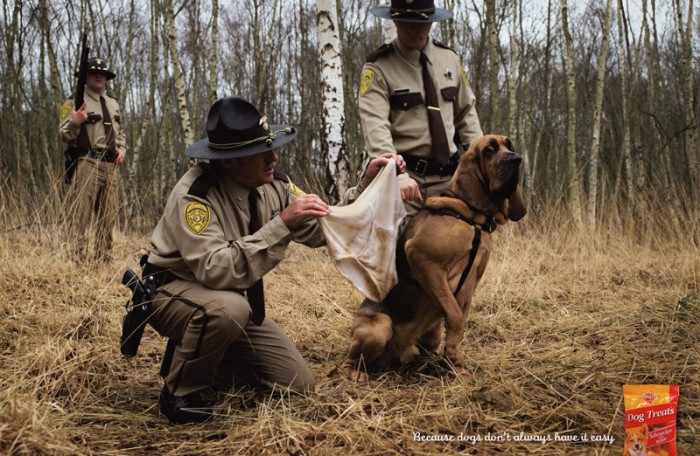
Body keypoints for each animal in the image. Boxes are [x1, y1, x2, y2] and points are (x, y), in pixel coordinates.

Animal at [344, 135, 524, 382]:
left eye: (510, 146)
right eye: (489, 149)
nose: (517, 159)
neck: (472, 220)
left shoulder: (471, 284)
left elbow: (461, 320)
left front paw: (456, 364)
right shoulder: (424, 260)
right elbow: (455, 316)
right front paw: (454, 359)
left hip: (424, 340)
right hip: (380, 326)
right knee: (350, 359)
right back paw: (357, 372)